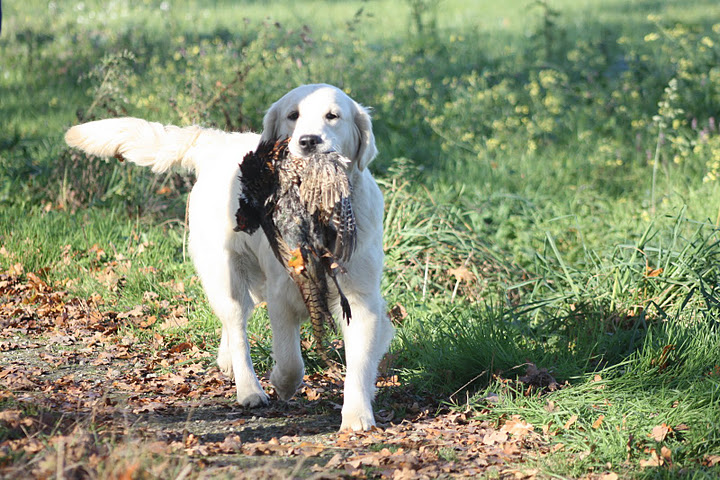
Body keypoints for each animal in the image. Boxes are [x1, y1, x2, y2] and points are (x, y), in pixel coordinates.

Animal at [66, 83, 394, 432]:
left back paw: (228, 362)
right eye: (293, 116)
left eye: (333, 116)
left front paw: (357, 415)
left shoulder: (361, 300)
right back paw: (249, 389)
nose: (308, 141)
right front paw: (281, 382)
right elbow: (290, 359)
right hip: (225, 273)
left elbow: (360, 361)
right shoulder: (281, 295)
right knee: (237, 326)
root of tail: (215, 141)